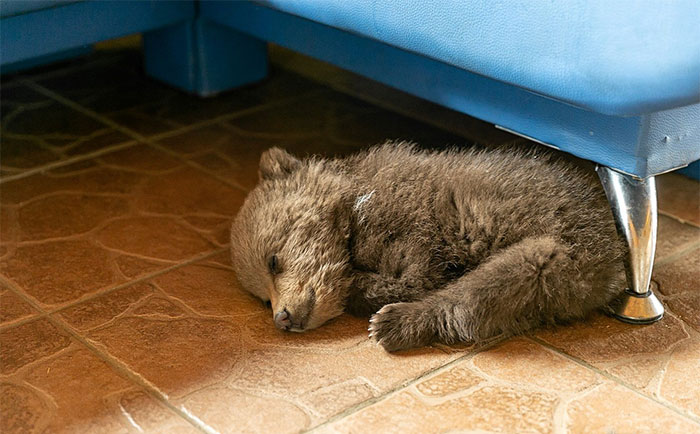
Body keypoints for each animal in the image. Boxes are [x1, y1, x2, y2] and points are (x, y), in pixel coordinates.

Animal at [230, 142, 626, 351]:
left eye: (273, 260)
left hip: (557, 253)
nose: (282, 318)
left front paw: (359, 287)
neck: (353, 213)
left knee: (477, 296)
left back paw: (394, 323)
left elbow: (417, 277)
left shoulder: (415, 228)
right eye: (262, 298)